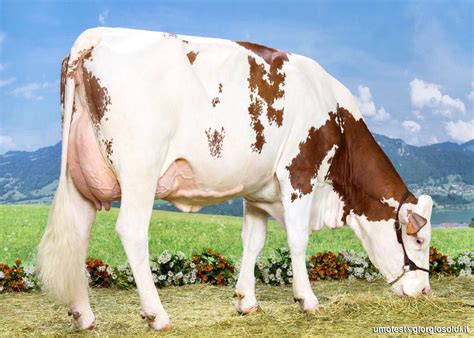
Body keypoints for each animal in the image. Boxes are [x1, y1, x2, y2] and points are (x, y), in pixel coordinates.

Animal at [38, 27, 434, 332]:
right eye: (418, 239)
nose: (425, 291)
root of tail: (92, 36)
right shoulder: (299, 175)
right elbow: (298, 240)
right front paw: (307, 300)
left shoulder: (257, 189)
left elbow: (252, 242)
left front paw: (247, 301)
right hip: (140, 169)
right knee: (132, 231)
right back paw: (157, 315)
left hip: (80, 176)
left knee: (77, 235)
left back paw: (84, 316)